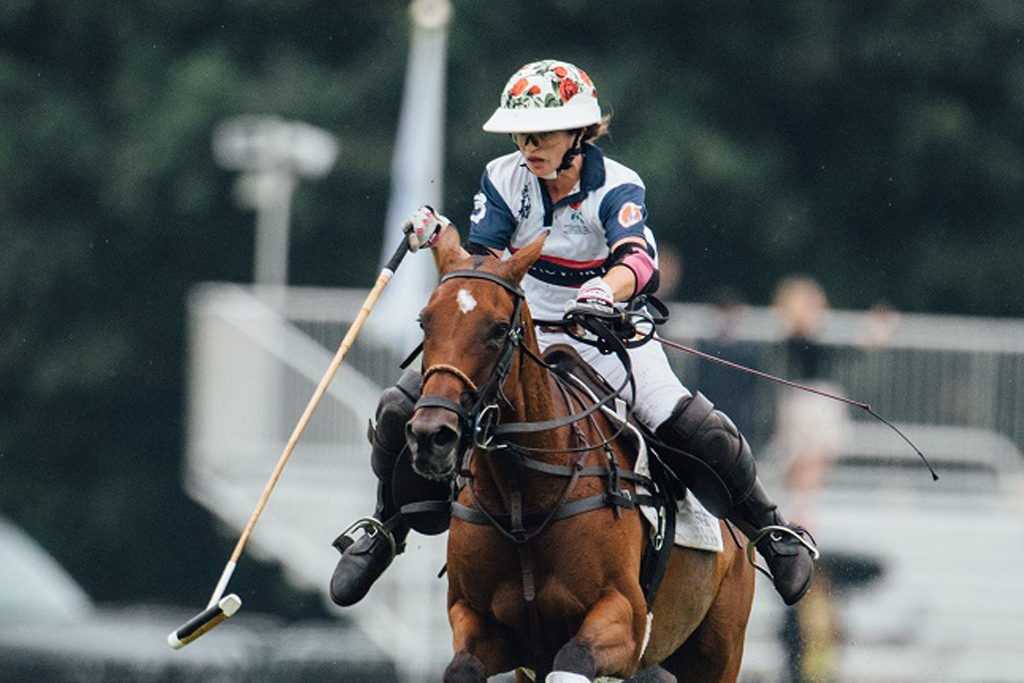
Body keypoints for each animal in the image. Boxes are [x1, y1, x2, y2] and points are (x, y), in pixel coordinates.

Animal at [405, 229, 753, 683]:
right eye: (425, 321)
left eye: (498, 330)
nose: (431, 436)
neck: (522, 496)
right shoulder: (480, 622)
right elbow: (464, 665)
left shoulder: (625, 619)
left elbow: (575, 658)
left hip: (720, 650)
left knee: (702, 427)